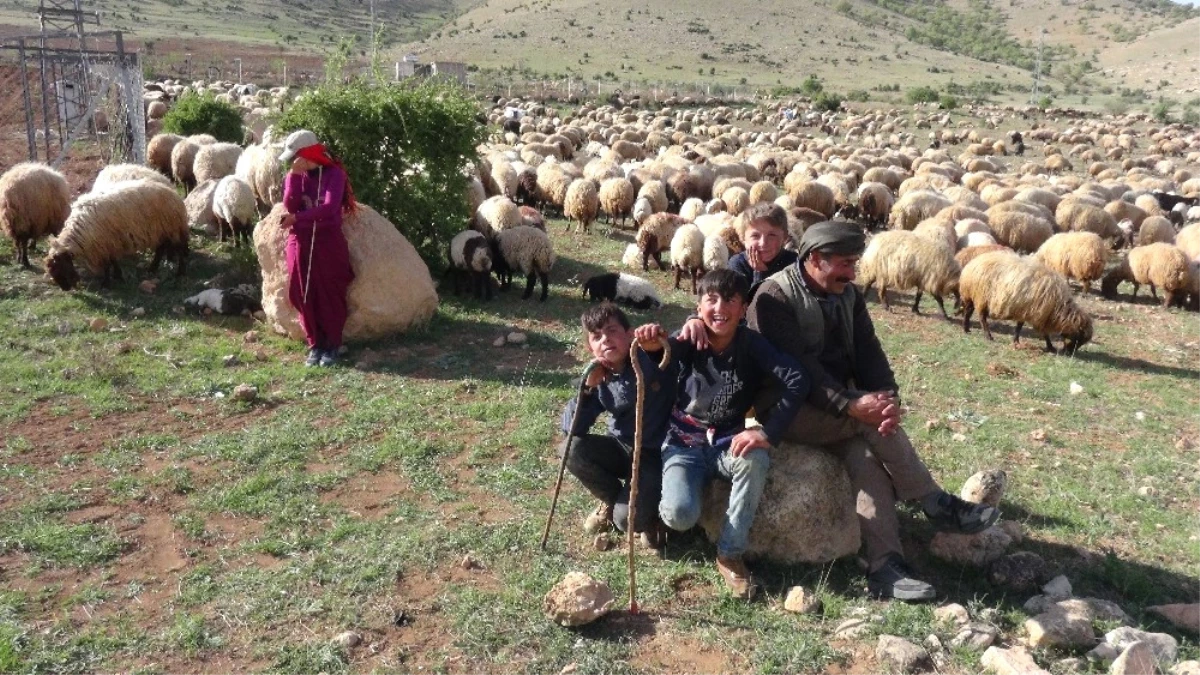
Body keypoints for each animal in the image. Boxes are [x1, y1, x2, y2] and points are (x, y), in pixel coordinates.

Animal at [44, 178, 187, 289]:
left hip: (172, 227)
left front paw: (106, 283)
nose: (66, 288)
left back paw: (180, 272)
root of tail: (175, 195)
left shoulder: (104, 244)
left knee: (180, 249)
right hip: (161, 230)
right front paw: (118, 275)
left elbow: (107, 264)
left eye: (59, 268)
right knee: (161, 248)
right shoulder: (110, 243)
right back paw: (153, 268)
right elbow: (113, 261)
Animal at [960, 247, 1094, 353]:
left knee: (968, 312)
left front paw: (1016, 340)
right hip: (981, 297)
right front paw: (1050, 346)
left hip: (971, 296)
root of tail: (972, 264)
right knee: (982, 317)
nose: (1069, 353)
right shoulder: (1038, 316)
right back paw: (988, 336)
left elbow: (1019, 327)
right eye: (1078, 338)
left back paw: (966, 329)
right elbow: (1044, 333)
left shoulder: (1026, 311)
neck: (1058, 306)